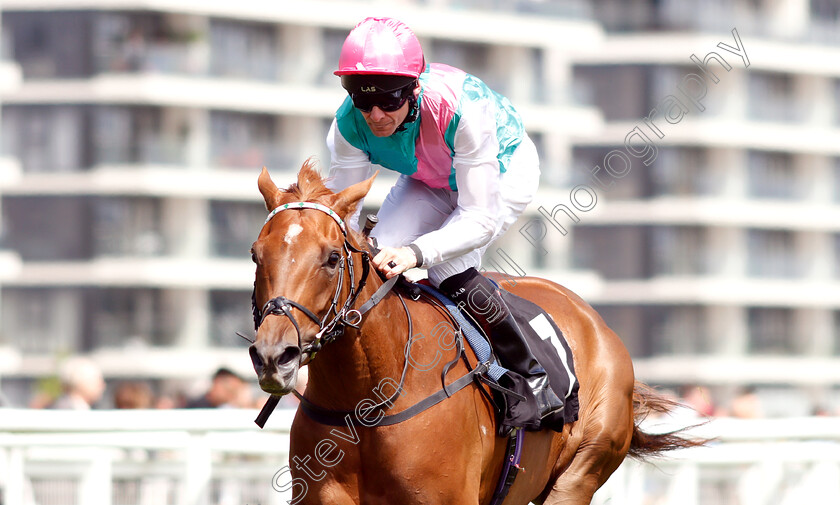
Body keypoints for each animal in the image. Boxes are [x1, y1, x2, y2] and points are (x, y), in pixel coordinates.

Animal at [251, 162, 704, 504]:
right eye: (256, 254)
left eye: (331, 258)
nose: (274, 355)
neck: (366, 399)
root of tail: (597, 323)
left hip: (580, 474)